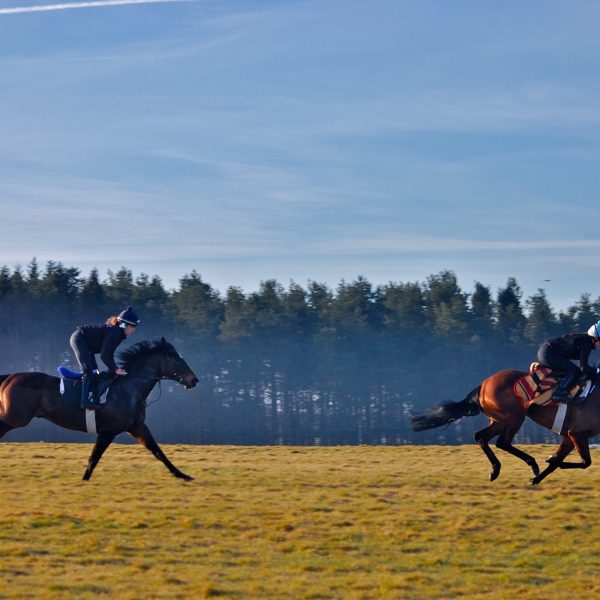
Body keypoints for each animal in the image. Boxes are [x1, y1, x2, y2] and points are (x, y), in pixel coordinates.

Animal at [0, 340, 202, 480]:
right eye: (175, 358)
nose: (194, 380)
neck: (129, 389)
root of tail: (9, 377)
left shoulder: (137, 427)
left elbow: (158, 451)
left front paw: (182, 475)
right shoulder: (108, 431)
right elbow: (94, 458)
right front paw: (84, 481)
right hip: (14, 418)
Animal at [410, 368, 600, 486]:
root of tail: (483, 385)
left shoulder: (570, 436)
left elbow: (565, 461)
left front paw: (538, 477)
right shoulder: (576, 433)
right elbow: (585, 462)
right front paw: (547, 462)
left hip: (499, 420)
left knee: (481, 437)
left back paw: (496, 470)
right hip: (515, 417)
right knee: (502, 442)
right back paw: (531, 464)